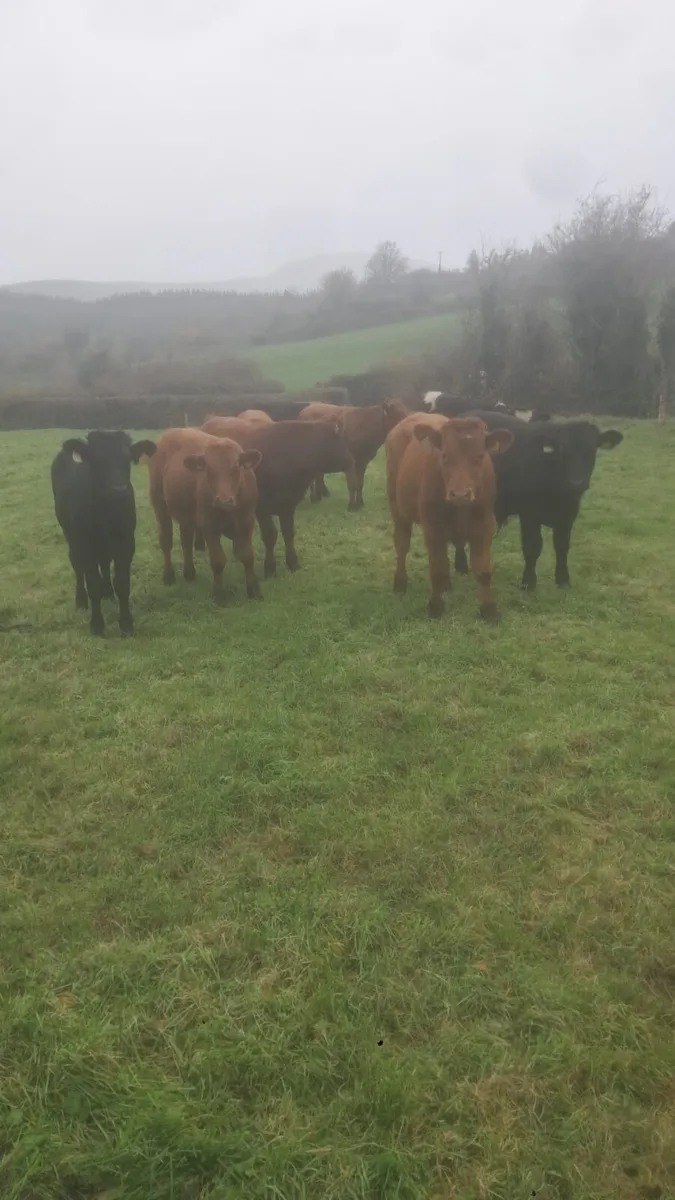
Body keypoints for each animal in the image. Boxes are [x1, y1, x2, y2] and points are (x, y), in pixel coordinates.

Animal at [51, 430, 157, 636]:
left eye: (126, 459)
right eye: (97, 460)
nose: (119, 490)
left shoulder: (127, 543)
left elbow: (122, 583)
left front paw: (126, 624)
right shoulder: (85, 544)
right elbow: (92, 584)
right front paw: (97, 625)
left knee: (105, 564)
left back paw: (107, 591)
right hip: (70, 535)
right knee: (77, 565)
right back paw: (81, 601)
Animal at [148, 428, 262, 606]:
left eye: (236, 468)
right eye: (208, 469)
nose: (223, 500)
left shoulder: (247, 520)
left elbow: (247, 555)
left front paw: (253, 590)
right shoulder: (210, 526)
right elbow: (218, 561)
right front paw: (219, 594)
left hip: (187, 515)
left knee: (186, 542)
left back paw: (189, 572)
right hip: (160, 505)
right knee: (166, 541)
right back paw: (168, 576)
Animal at [201, 416, 353, 576]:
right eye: (342, 440)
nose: (351, 461)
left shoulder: (287, 505)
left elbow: (288, 533)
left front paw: (292, 562)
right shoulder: (261, 508)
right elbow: (269, 535)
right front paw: (270, 566)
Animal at [386, 413, 514, 622]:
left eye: (479, 456)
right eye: (444, 456)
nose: (460, 494)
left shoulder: (485, 526)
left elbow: (484, 572)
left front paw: (489, 609)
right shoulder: (432, 528)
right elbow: (436, 570)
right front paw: (435, 607)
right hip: (398, 508)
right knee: (402, 545)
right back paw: (400, 582)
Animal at [452, 412, 623, 589]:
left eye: (591, 450)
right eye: (562, 451)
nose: (577, 483)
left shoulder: (567, 517)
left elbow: (562, 546)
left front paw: (563, 580)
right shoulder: (529, 515)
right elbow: (532, 547)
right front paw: (528, 582)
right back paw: (461, 566)